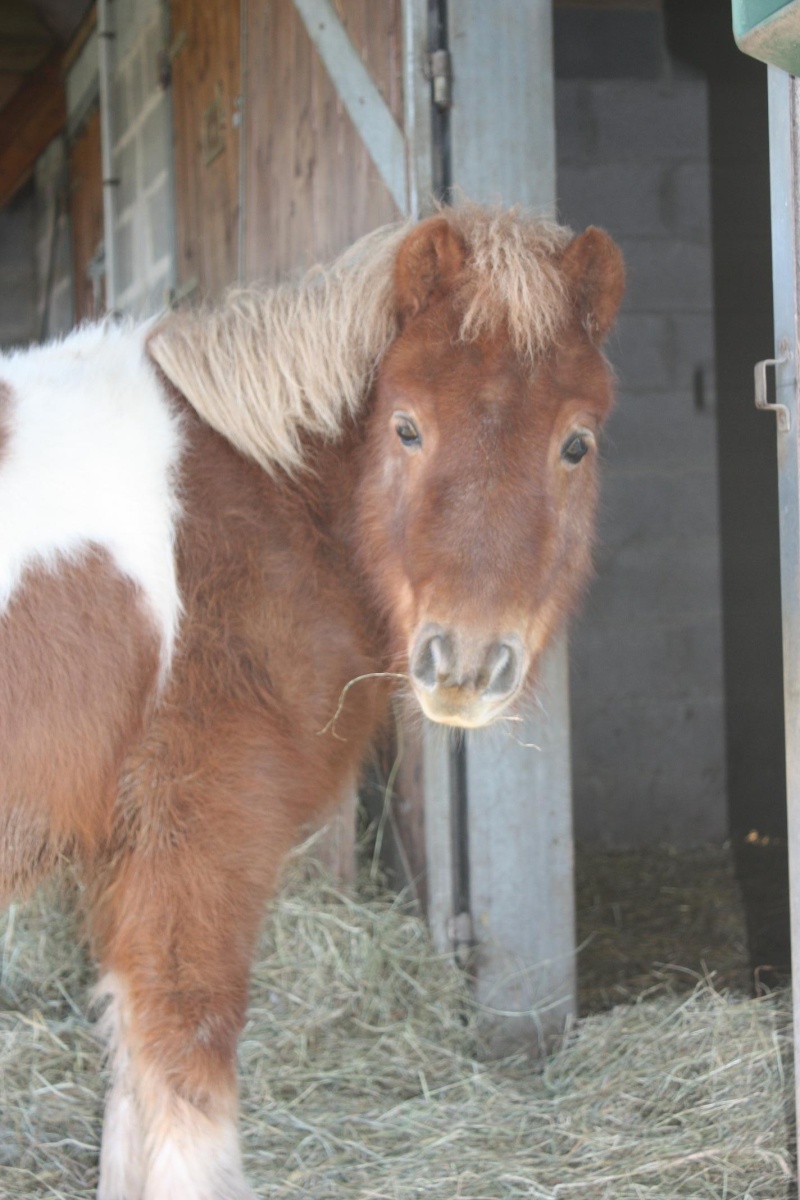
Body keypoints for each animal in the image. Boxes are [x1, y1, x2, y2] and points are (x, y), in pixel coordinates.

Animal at [0, 208, 623, 1200]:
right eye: (406, 427)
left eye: (576, 443)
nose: (464, 662)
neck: (244, 516)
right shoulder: (200, 844)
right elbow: (185, 1077)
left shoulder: (126, 860)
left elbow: (132, 1090)